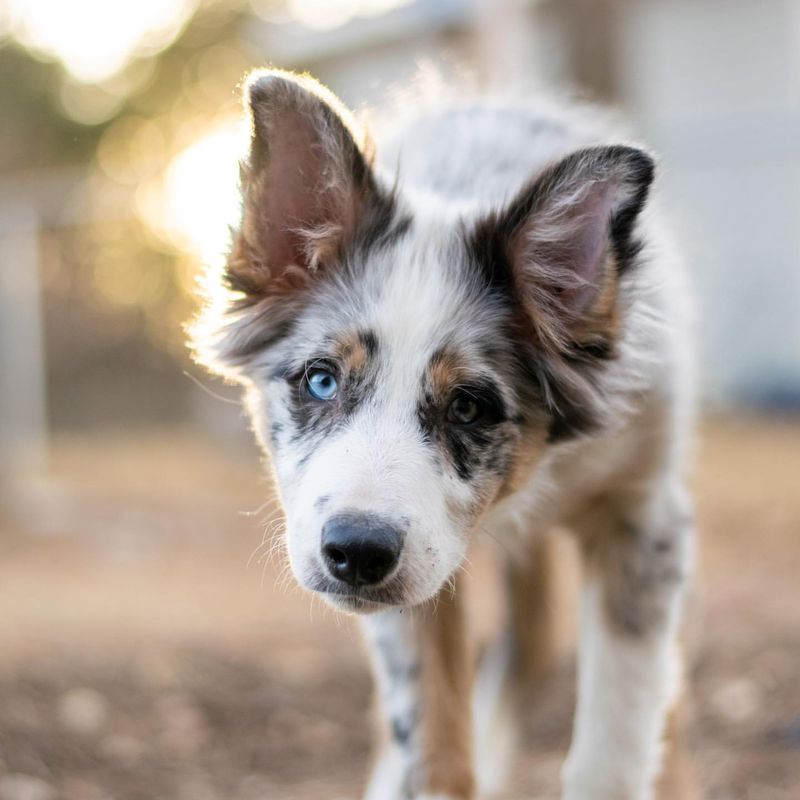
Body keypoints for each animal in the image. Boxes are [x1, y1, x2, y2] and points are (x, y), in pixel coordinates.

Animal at [191, 69, 696, 800]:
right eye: (321, 381)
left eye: (468, 408)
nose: (356, 554)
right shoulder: (407, 591)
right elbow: (434, 752)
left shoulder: (643, 517)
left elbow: (620, 740)